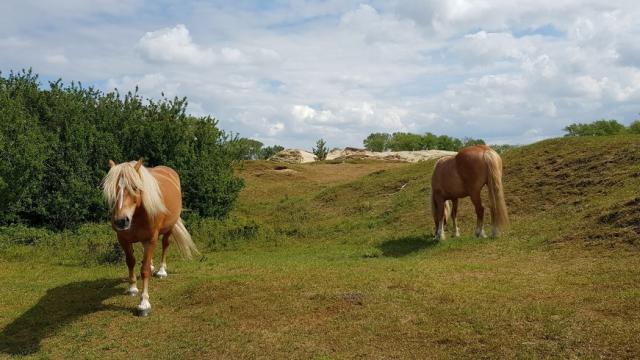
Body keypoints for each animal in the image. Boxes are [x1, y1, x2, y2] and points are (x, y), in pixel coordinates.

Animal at [102, 159, 198, 316]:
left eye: (135, 187)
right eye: (112, 189)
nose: (121, 221)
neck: (137, 214)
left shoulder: (151, 239)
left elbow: (145, 269)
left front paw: (144, 304)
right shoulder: (123, 239)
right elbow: (130, 262)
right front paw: (132, 288)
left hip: (169, 228)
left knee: (165, 245)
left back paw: (161, 271)